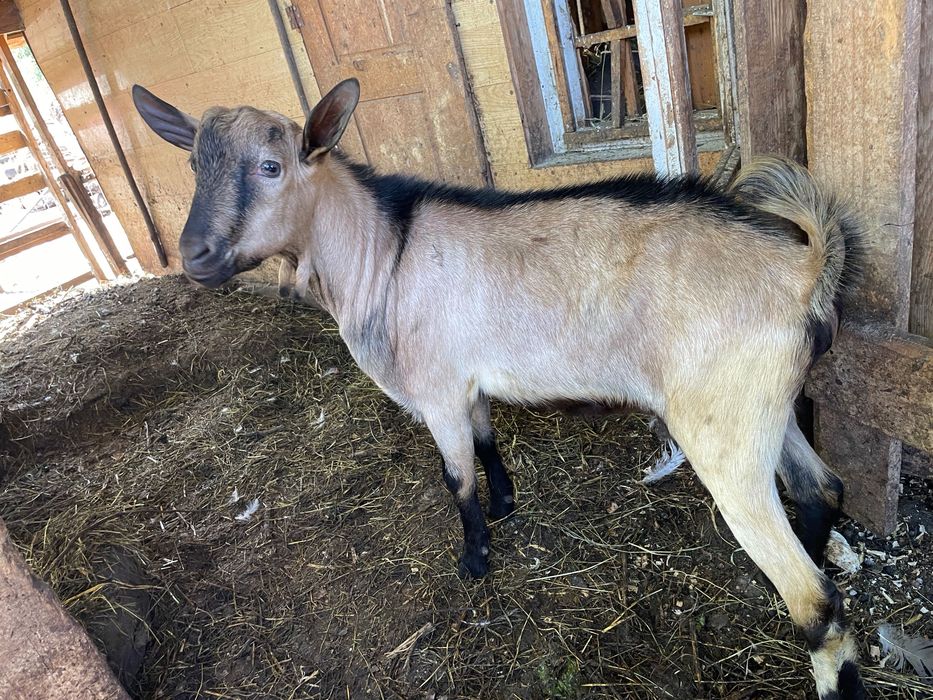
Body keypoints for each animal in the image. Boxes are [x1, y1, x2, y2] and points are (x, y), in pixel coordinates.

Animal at [133, 79, 866, 699]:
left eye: (271, 167)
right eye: (193, 164)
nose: (195, 255)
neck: (384, 254)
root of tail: (803, 268)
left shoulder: (435, 389)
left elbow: (455, 476)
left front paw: (475, 557)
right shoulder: (468, 380)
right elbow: (486, 443)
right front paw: (507, 503)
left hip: (722, 428)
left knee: (817, 602)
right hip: (761, 409)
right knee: (821, 488)